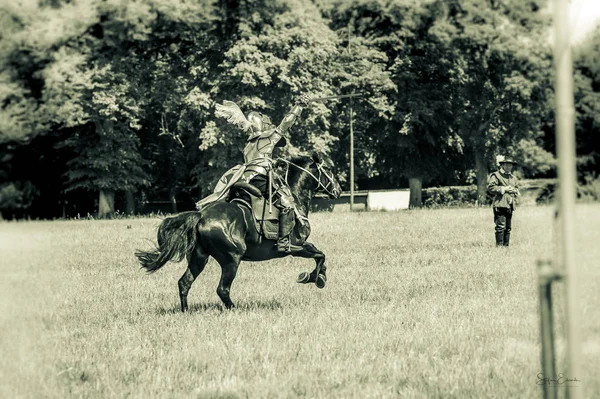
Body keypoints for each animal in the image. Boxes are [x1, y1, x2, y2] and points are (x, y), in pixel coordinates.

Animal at [137, 153, 342, 312]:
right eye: (328, 169)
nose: (339, 191)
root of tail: (201, 215)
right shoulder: (295, 247)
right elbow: (320, 255)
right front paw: (313, 278)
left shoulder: (302, 245)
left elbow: (320, 255)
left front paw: (319, 276)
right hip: (232, 259)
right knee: (222, 289)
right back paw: (235, 309)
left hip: (199, 257)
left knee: (184, 282)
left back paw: (185, 311)